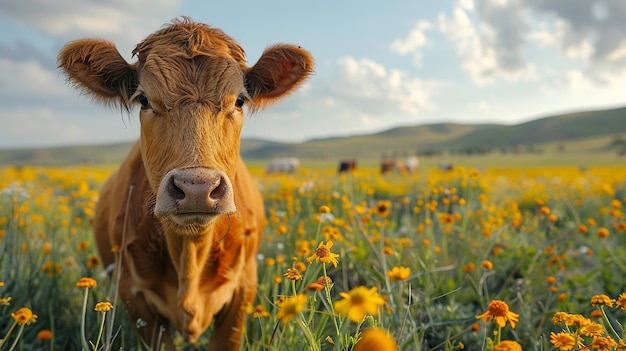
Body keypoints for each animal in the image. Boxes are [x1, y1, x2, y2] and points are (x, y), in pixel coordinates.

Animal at [57, 17, 312, 351]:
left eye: (240, 100)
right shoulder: (133, 294)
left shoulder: (244, 287)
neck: (189, 252)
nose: (197, 188)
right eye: (144, 99)